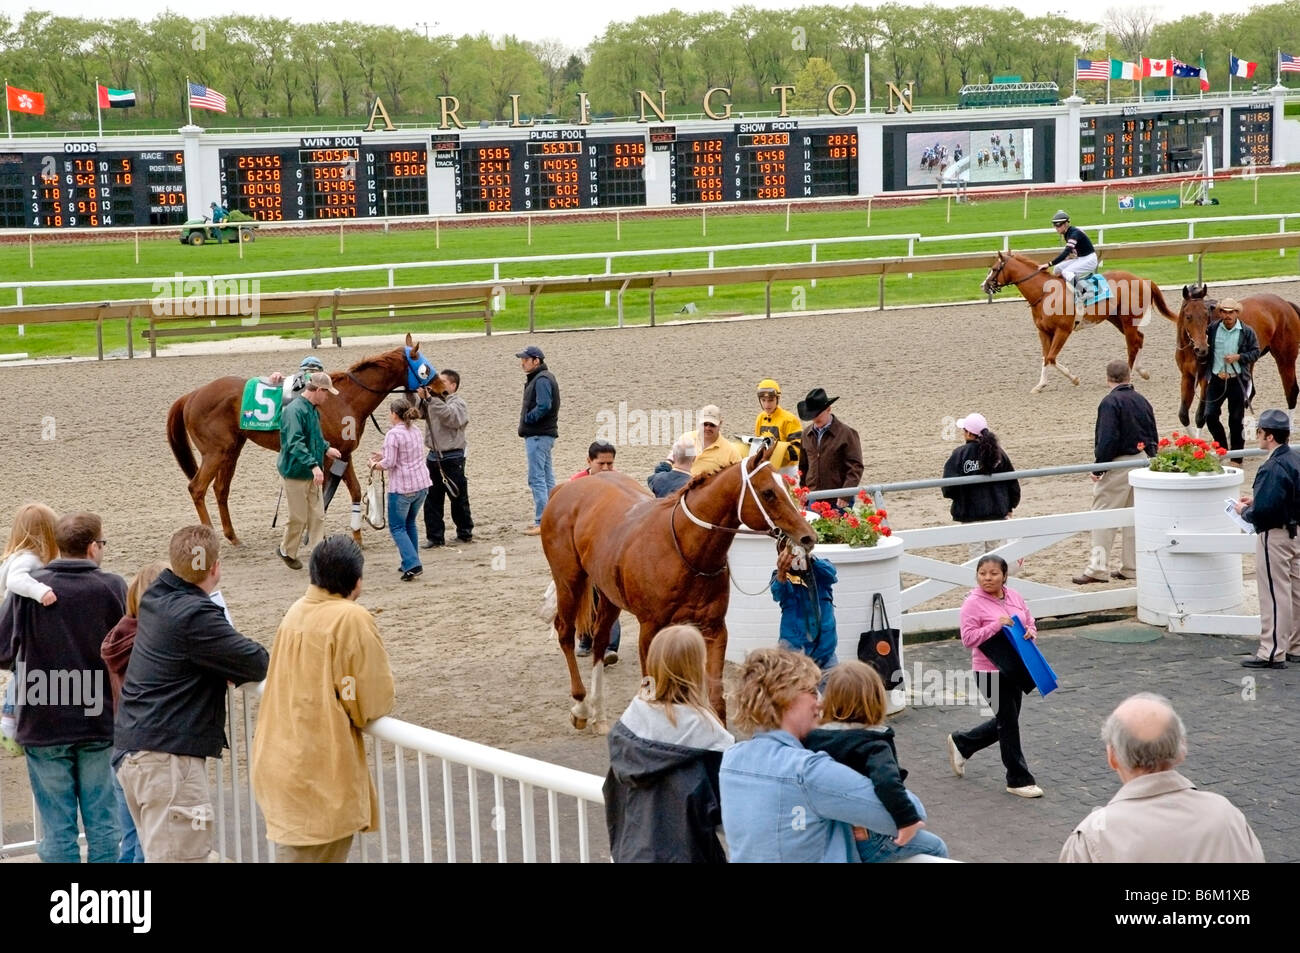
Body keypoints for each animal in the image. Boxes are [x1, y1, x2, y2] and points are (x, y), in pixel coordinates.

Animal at [165, 332, 441, 543]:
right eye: (426, 368)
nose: (442, 388)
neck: (344, 397)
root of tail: (192, 395)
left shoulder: (343, 453)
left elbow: (354, 492)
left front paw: (357, 537)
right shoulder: (329, 456)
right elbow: (325, 496)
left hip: (231, 449)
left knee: (220, 489)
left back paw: (233, 537)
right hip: (215, 452)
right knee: (197, 488)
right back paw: (210, 534)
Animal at [540, 442, 811, 733]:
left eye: (786, 485)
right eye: (768, 492)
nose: (808, 536)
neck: (684, 548)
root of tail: (563, 490)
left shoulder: (715, 629)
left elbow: (716, 697)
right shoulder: (650, 630)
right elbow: (651, 691)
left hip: (608, 593)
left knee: (601, 639)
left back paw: (599, 715)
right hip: (569, 580)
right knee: (565, 632)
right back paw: (580, 706)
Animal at [982, 249, 1180, 395]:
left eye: (994, 268)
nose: (983, 285)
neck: (1044, 293)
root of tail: (1142, 279)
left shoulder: (1063, 330)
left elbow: (1052, 357)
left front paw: (1074, 378)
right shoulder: (1043, 331)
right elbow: (1046, 358)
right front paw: (1040, 385)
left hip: (1128, 319)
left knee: (1132, 345)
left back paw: (1129, 375)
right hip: (1117, 319)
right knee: (1139, 338)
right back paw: (1142, 372)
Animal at [1175, 286, 1294, 426]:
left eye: (1206, 315)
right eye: (1188, 316)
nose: (1202, 349)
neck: (1190, 351)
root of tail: (1286, 304)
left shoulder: (1205, 380)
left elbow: (1199, 418)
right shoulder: (1187, 376)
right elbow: (1183, 415)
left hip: (1285, 359)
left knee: (1291, 392)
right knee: (1249, 395)